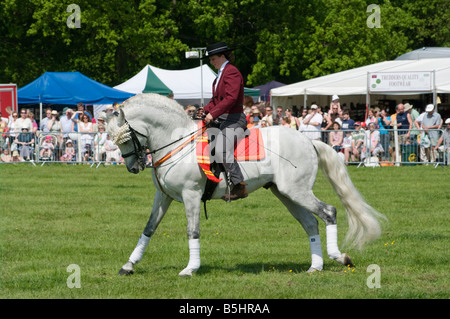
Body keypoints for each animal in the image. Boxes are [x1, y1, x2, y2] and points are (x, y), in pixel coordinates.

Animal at [106, 94, 386, 276]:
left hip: (297, 191)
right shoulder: (162, 196)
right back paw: (314, 267)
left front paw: (190, 268)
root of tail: (308, 141)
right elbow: (149, 228)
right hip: (286, 193)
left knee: (329, 212)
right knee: (310, 223)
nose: (133, 167)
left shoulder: (191, 195)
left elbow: (192, 231)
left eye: (125, 137)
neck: (176, 141)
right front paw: (129, 265)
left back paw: (339, 257)